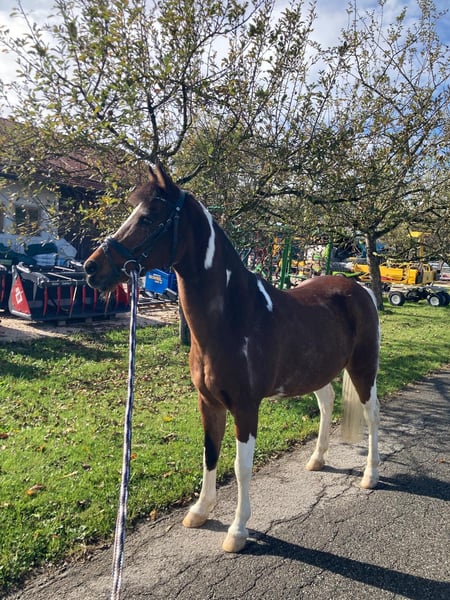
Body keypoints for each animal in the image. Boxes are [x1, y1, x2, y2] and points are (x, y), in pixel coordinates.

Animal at [84, 164, 380, 554]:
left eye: (148, 218)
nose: (91, 268)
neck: (235, 317)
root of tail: (359, 289)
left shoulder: (246, 407)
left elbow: (242, 467)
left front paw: (237, 530)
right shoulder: (208, 402)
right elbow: (210, 452)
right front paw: (200, 511)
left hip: (363, 369)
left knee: (372, 414)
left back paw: (371, 475)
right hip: (317, 371)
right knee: (327, 402)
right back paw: (317, 459)